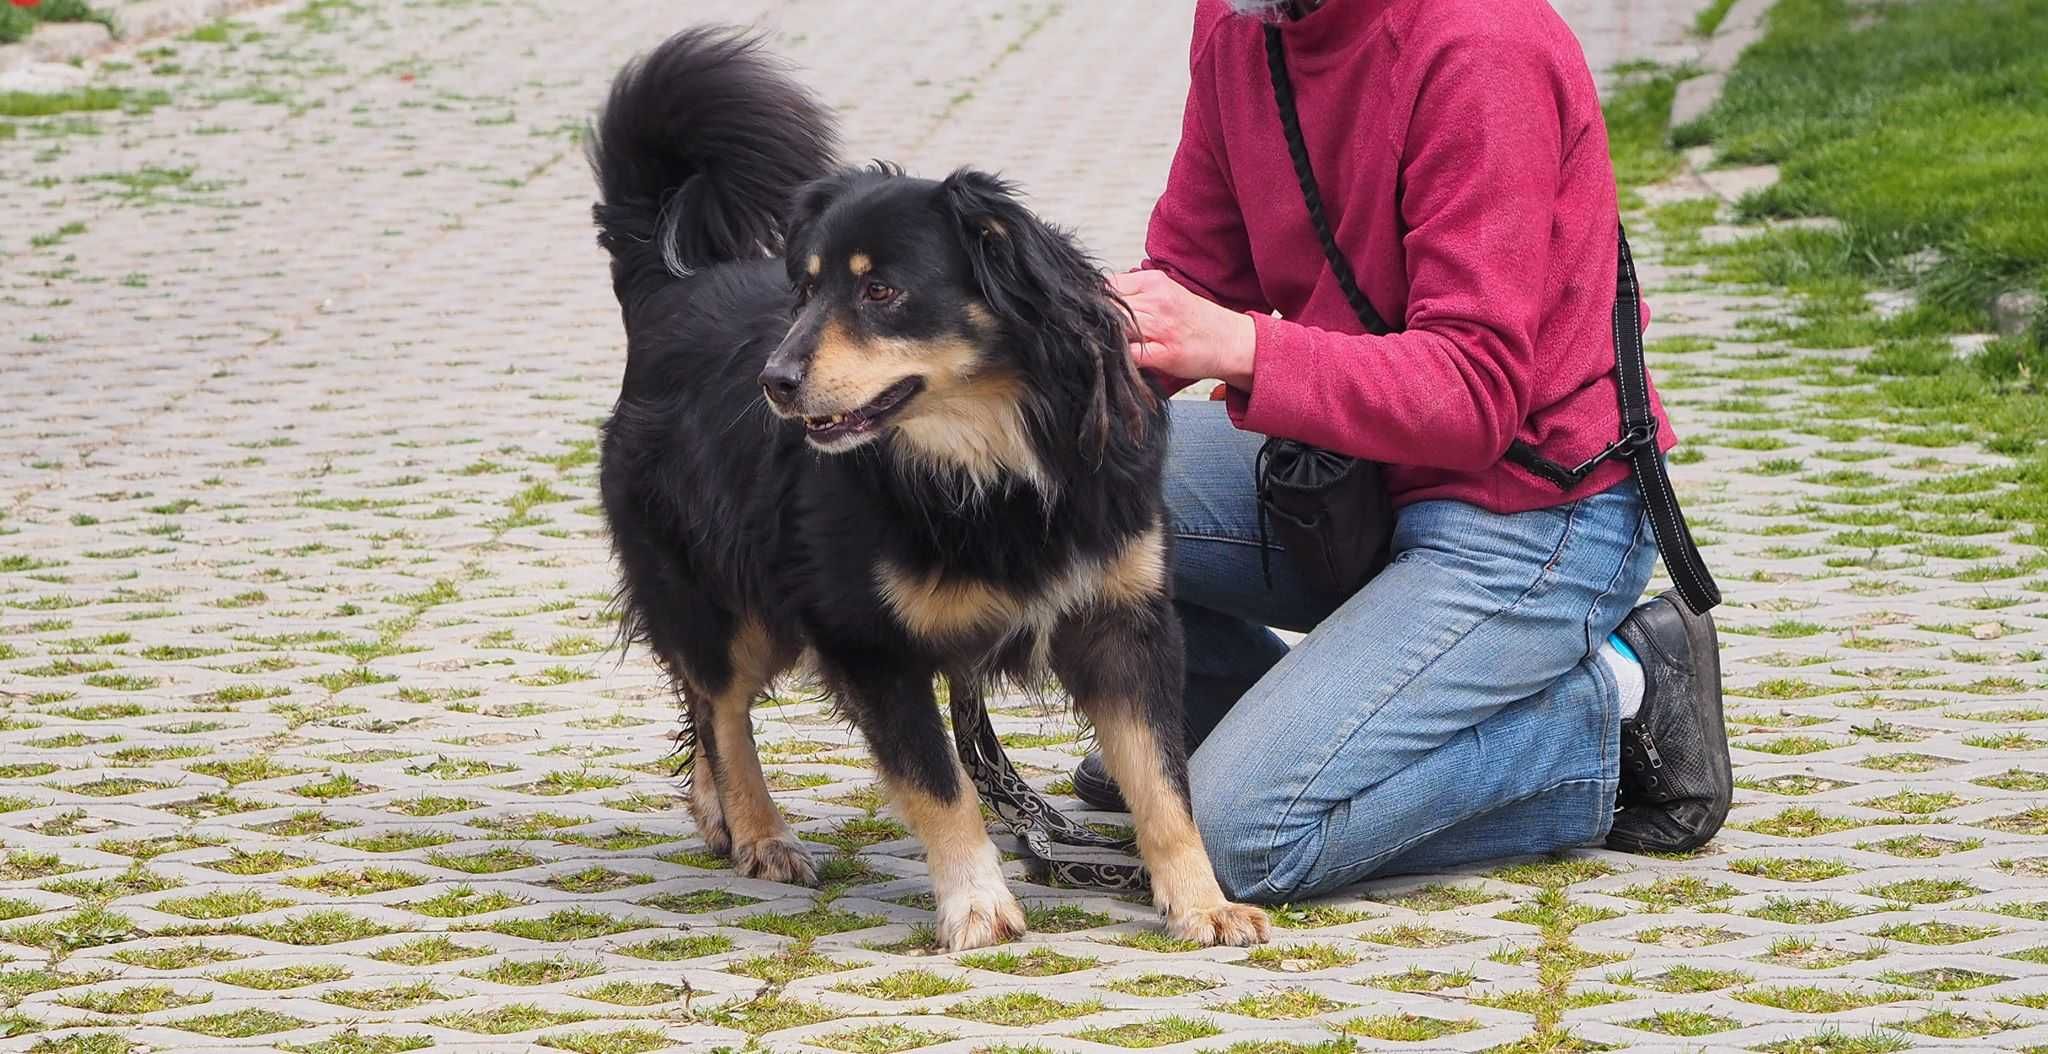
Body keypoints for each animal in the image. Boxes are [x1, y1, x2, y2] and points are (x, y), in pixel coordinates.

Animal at [585, 26, 1269, 949]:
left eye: (882, 290)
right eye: (805, 290)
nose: (775, 382)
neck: (987, 460)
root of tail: (667, 287)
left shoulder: (1124, 622)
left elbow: (1164, 784)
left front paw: (1201, 902)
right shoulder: (870, 643)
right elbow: (943, 787)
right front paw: (978, 906)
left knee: (700, 706)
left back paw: (718, 815)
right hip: (728, 599)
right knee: (720, 706)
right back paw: (759, 831)